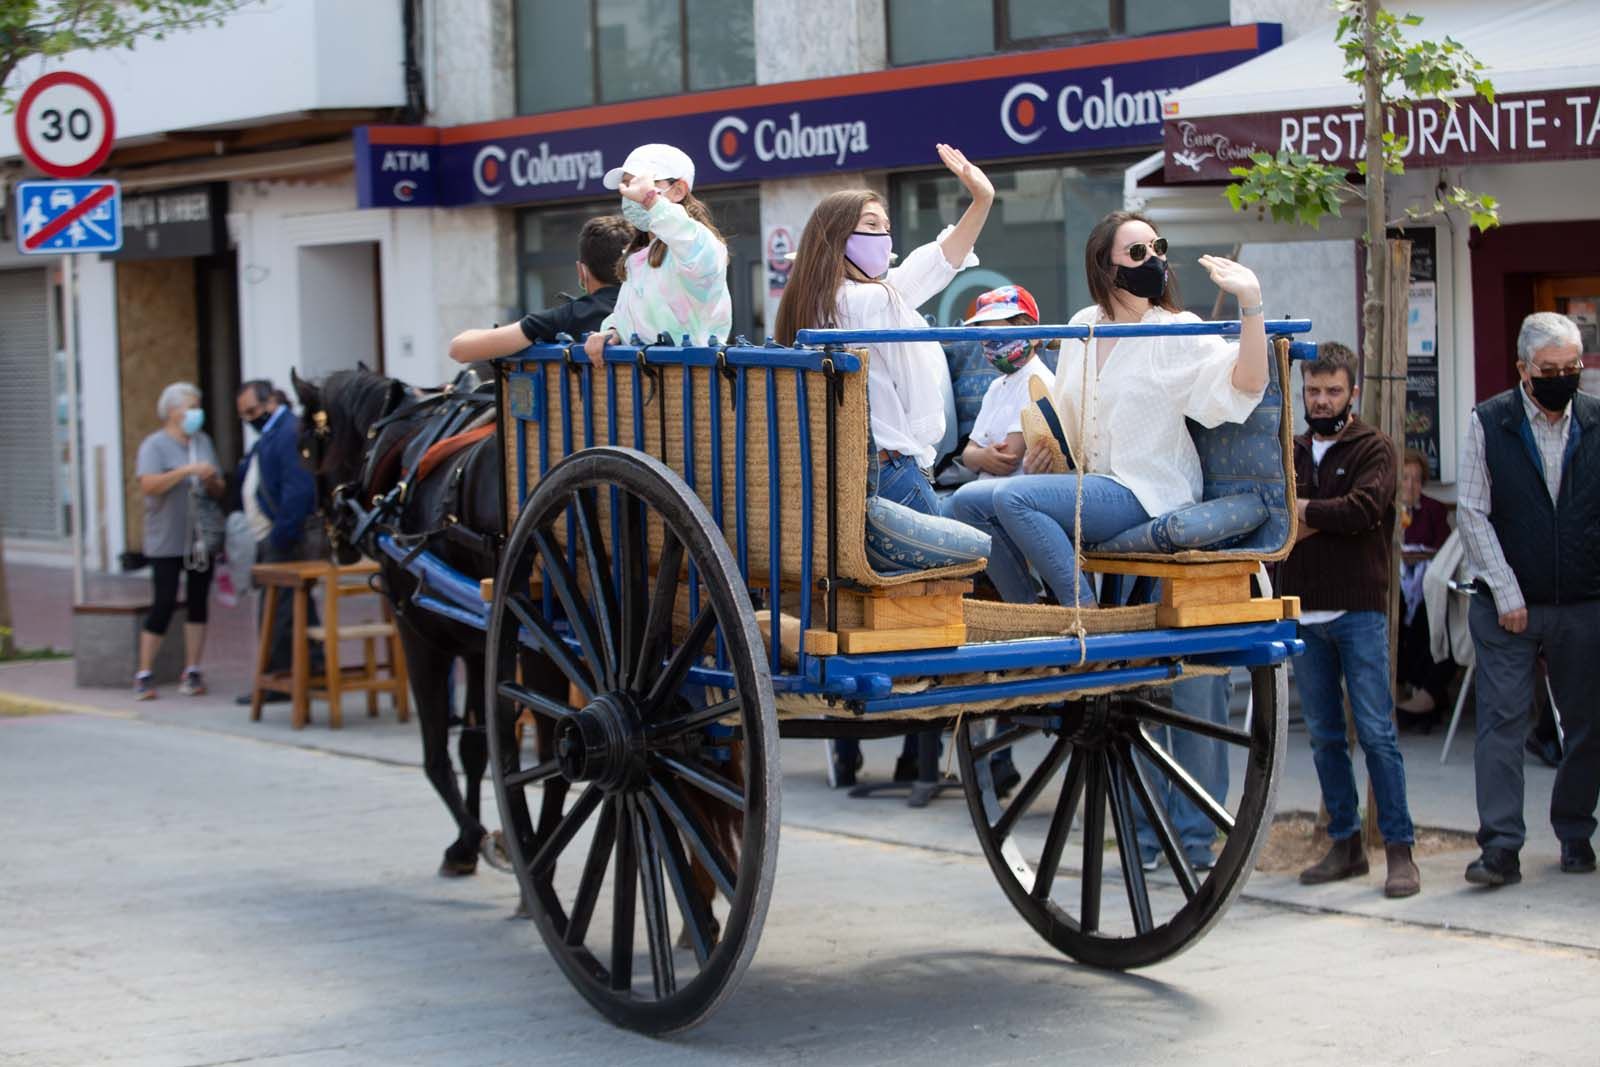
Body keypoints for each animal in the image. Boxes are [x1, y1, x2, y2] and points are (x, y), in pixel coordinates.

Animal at [291, 364, 572, 876]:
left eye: (304, 448)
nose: (332, 532)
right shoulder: (482, 643)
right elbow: (477, 746)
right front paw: (479, 842)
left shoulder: (419, 632)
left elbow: (438, 753)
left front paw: (471, 842)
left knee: (554, 751)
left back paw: (540, 857)